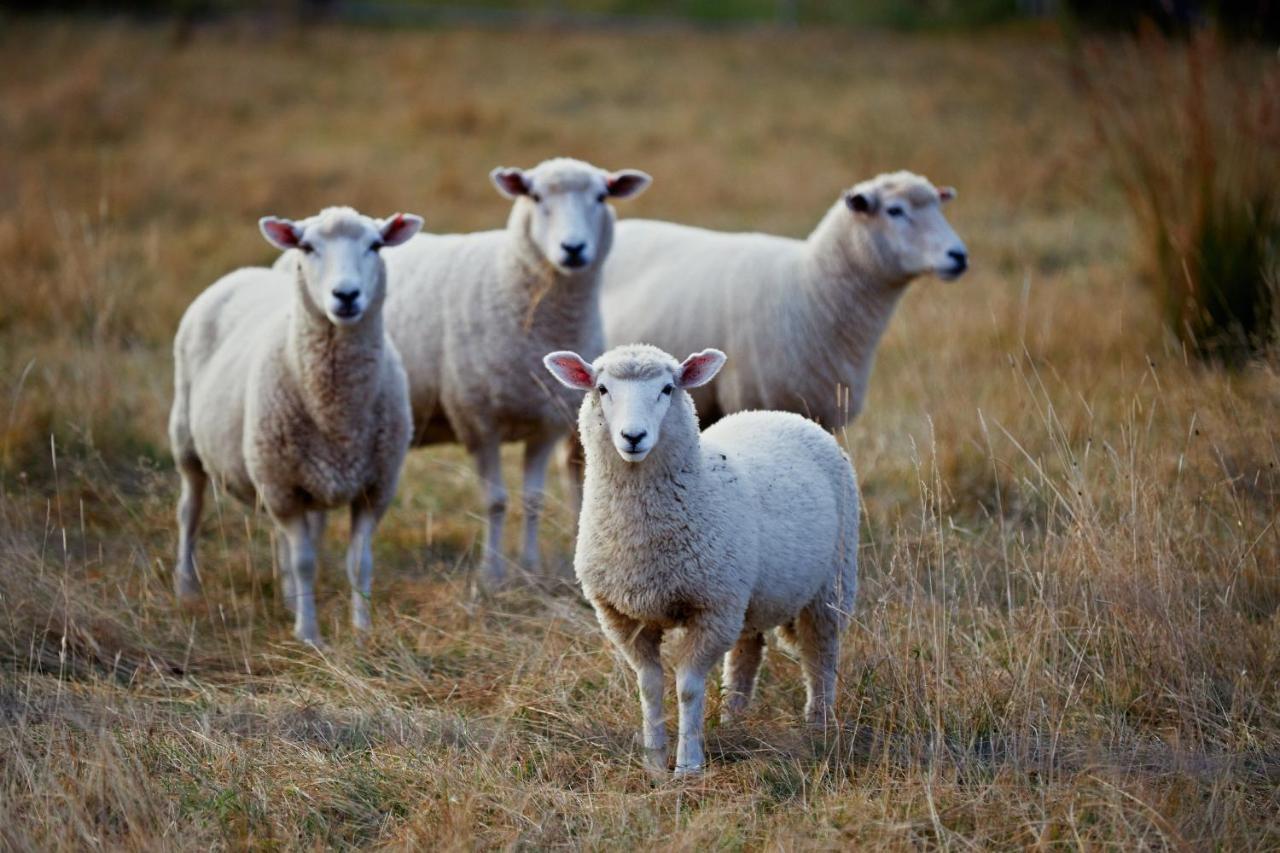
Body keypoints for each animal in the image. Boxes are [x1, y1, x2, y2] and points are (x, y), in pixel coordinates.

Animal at [166, 207, 419, 645]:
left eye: (375, 245)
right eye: (307, 247)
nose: (346, 295)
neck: (336, 413)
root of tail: (245, 272)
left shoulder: (375, 488)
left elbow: (360, 562)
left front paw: (361, 632)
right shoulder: (283, 487)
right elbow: (304, 561)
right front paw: (309, 635)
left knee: (284, 537)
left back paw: (288, 599)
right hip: (189, 441)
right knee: (190, 511)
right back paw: (187, 587)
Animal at [373, 156, 650, 581]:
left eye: (601, 196)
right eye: (535, 196)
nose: (573, 249)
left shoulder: (546, 422)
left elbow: (533, 499)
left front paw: (531, 566)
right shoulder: (477, 420)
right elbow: (496, 501)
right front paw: (491, 572)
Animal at [542, 343, 860, 773]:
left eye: (667, 389)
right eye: (602, 389)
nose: (633, 437)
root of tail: (776, 414)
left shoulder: (711, 610)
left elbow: (688, 688)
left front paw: (689, 765)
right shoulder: (623, 617)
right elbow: (649, 687)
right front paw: (654, 761)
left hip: (831, 583)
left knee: (820, 656)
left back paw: (819, 726)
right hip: (746, 594)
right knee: (746, 654)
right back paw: (733, 719)